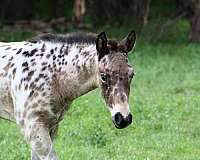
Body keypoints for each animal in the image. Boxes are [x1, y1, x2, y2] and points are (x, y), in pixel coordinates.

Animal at [0, 29, 136, 159]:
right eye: (103, 76)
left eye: (132, 75)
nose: (123, 118)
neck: (52, 75)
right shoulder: (32, 127)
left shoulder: (51, 126)